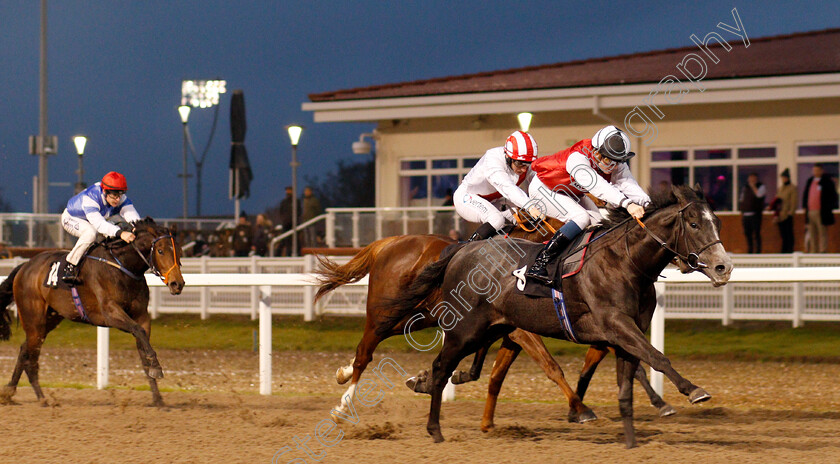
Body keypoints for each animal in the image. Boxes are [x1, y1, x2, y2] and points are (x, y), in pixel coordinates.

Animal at [0, 218, 184, 406]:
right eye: (160, 251)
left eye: (179, 251)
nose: (177, 284)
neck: (122, 266)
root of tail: (25, 266)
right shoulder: (110, 313)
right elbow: (138, 331)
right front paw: (157, 368)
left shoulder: (142, 316)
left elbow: (143, 346)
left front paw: (158, 397)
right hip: (34, 319)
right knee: (31, 355)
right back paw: (42, 398)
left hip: (49, 319)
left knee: (25, 349)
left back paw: (9, 392)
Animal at [312, 214, 672, 424]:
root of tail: (387, 243)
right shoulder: (526, 331)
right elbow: (553, 367)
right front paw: (581, 409)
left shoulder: (512, 332)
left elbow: (490, 374)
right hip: (384, 312)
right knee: (365, 351)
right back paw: (343, 404)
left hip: (416, 316)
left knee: (369, 347)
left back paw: (344, 374)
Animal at [384, 184, 732, 446]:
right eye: (694, 224)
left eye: (717, 221)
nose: (723, 267)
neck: (624, 262)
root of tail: (462, 249)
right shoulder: (615, 324)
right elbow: (657, 357)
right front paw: (693, 390)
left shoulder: (624, 334)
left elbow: (630, 379)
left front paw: (632, 433)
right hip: (464, 329)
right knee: (441, 367)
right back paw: (435, 428)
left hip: (494, 328)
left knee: (460, 368)